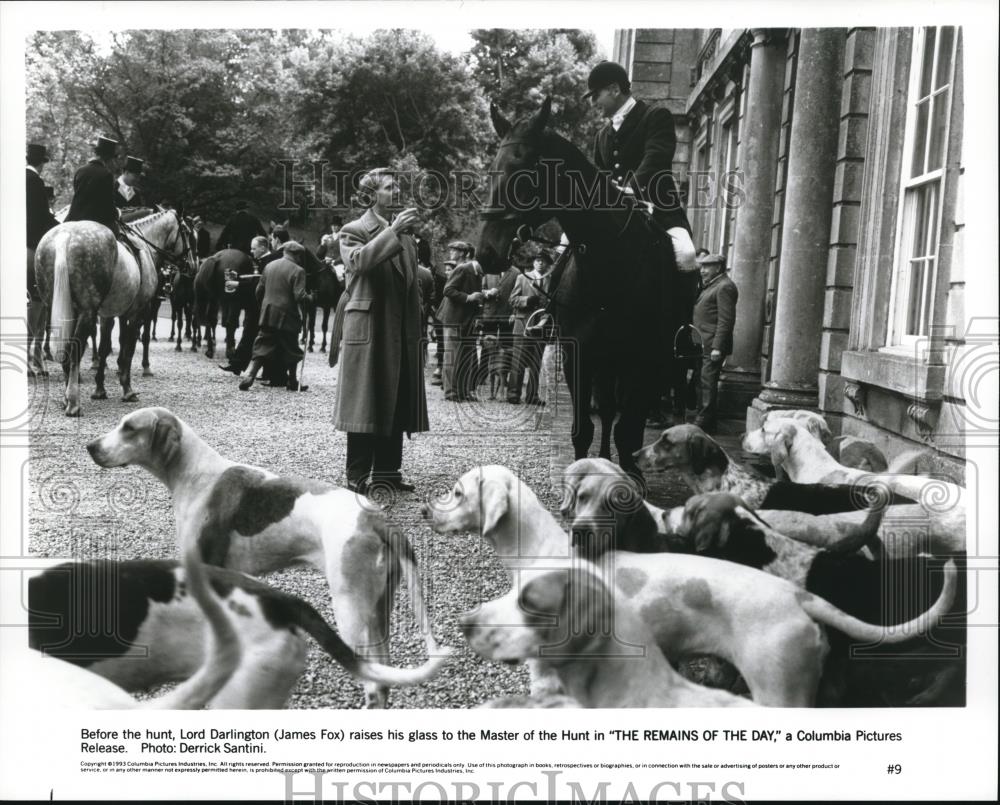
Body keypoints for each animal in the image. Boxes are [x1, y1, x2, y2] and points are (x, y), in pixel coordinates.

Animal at [90, 406, 450, 708]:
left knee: (374, 682)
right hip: (378, 610)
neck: (195, 474)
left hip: (351, 608)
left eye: (128, 428)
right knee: (384, 675)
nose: (90, 446)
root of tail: (376, 519)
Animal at [478, 99, 684, 478]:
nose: (486, 253)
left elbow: (628, 431)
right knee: (605, 410)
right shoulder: (580, 353)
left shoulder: (642, 359)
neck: (610, 263)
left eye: (524, 171)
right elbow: (583, 429)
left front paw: (630, 477)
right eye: (491, 170)